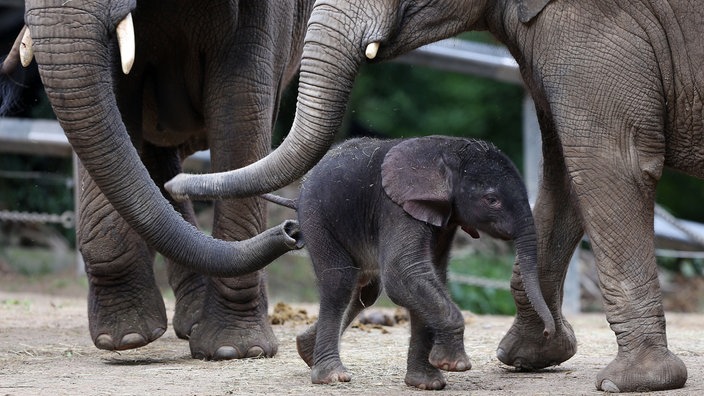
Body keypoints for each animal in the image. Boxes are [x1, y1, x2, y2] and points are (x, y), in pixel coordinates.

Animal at [262, 136, 552, 390]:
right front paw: (454, 365)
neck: (446, 150)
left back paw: (307, 352)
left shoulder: (442, 216)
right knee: (340, 282)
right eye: (492, 200)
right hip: (318, 218)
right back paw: (331, 376)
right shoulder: (396, 207)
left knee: (367, 289)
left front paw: (426, 383)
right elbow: (404, 272)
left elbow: (429, 275)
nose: (548, 332)